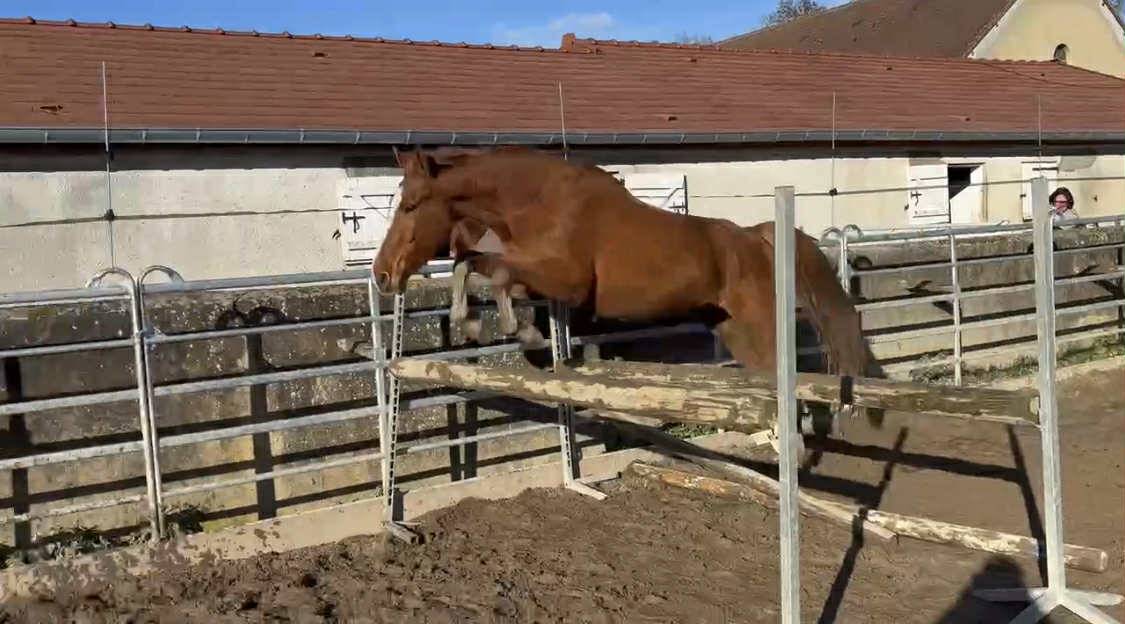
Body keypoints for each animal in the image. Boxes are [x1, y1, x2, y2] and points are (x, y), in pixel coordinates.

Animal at [372, 146, 883, 428]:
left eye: (411, 205)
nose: (382, 274)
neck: (538, 201)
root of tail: (758, 237)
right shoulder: (536, 273)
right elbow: (471, 266)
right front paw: (479, 324)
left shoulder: (568, 282)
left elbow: (493, 271)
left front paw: (521, 332)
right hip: (735, 331)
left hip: (760, 326)